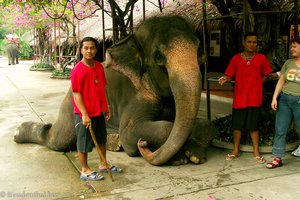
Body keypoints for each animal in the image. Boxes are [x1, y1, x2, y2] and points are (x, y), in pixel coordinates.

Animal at [14, 15, 217, 166]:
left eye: (200, 51)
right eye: (159, 58)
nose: (143, 144)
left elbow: (205, 124)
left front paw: (196, 156)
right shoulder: (134, 94)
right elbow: (134, 131)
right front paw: (178, 159)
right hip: (70, 107)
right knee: (58, 140)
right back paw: (18, 133)